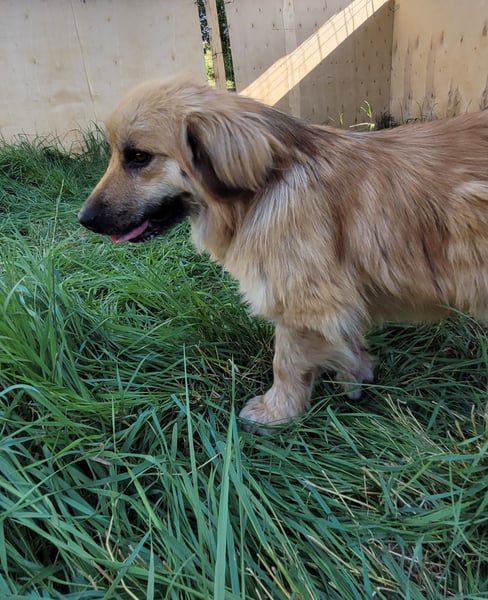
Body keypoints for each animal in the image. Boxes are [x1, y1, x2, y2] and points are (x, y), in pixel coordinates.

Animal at [78, 77, 488, 432]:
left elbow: (286, 362)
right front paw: (355, 378)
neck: (266, 185)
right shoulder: (335, 301)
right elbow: (348, 342)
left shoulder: (303, 303)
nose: (84, 219)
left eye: (138, 157)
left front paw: (277, 411)